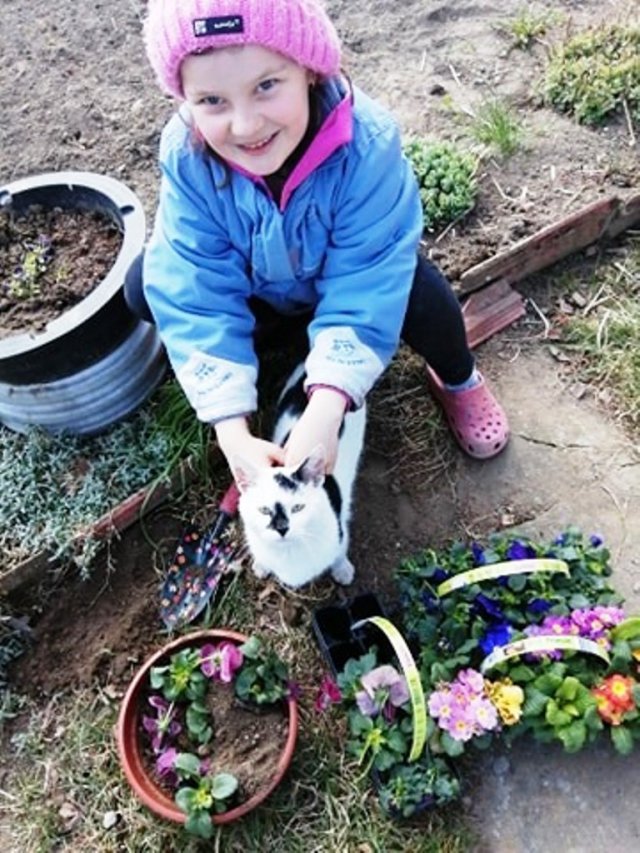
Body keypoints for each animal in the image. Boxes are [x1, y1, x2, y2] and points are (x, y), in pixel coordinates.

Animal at [234, 362, 364, 588]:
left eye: (297, 508)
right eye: (264, 510)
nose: (281, 528)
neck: (289, 552)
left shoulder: (339, 530)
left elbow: (340, 550)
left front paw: (342, 569)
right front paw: (261, 565)